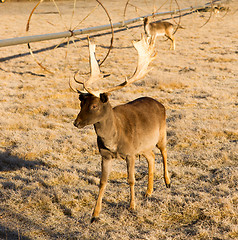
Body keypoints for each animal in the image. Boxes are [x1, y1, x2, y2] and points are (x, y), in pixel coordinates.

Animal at [69, 34, 171, 223]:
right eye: (81, 103)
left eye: (94, 106)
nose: (76, 123)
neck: (114, 140)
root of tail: (160, 104)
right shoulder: (105, 155)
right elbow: (102, 182)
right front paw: (94, 214)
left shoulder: (130, 153)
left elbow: (131, 179)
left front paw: (131, 206)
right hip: (144, 146)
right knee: (152, 157)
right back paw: (148, 192)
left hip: (162, 134)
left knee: (163, 152)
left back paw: (168, 182)